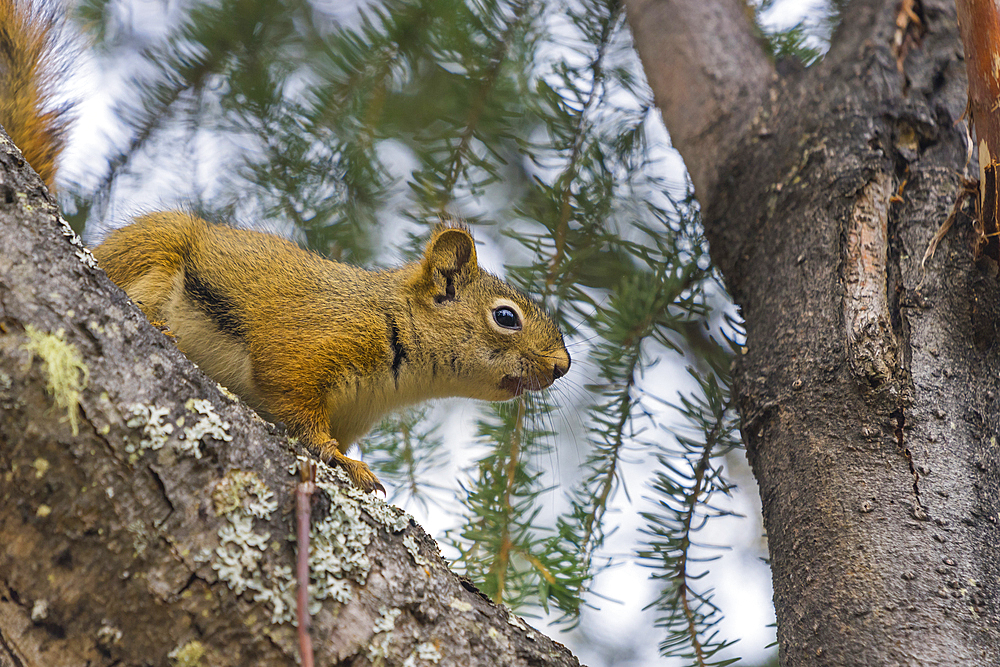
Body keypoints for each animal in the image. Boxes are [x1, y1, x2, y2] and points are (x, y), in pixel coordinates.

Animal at [0, 0, 572, 494]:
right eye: (506, 317)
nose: (563, 365)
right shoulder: (308, 343)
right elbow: (296, 402)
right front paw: (339, 459)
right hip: (158, 250)